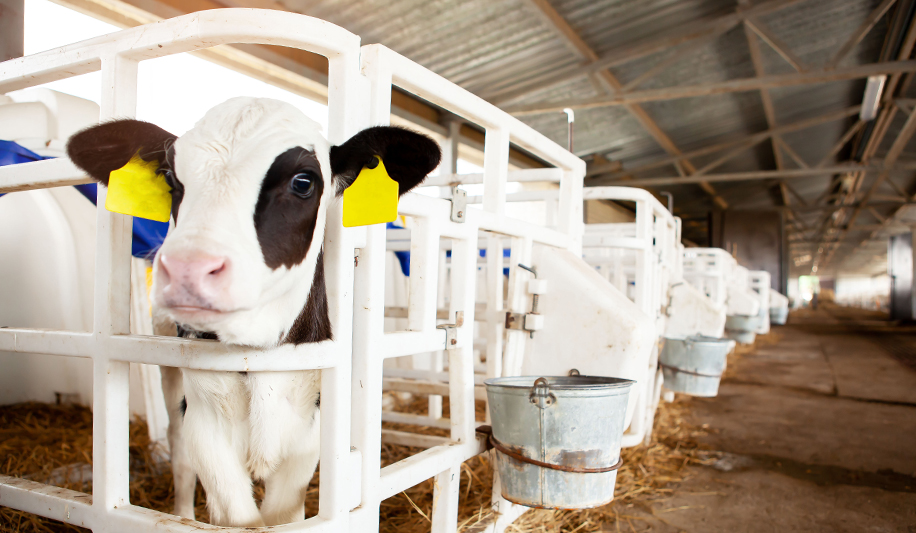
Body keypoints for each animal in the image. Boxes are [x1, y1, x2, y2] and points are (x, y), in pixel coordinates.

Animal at [68, 97, 440, 524]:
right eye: (171, 180)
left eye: (303, 182)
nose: (188, 269)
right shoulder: (205, 427)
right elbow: (236, 514)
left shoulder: (307, 434)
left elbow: (280, 514)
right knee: (180, 460)